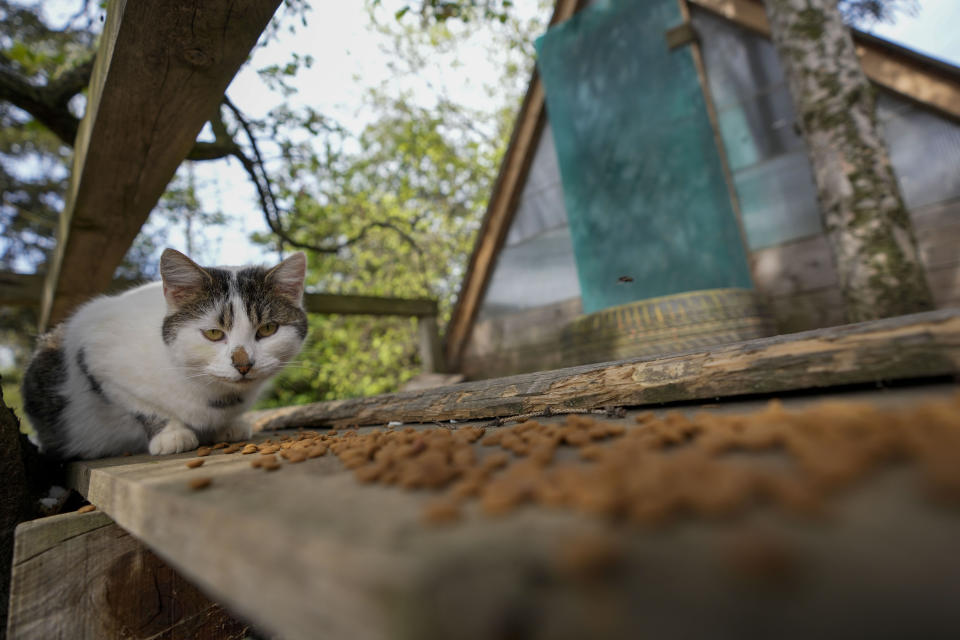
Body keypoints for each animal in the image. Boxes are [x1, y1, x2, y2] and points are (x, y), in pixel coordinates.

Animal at [21, 246, 308, 460]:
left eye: (268, 329)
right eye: (213, 333)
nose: (244, 364)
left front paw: (227, 427)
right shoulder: (96, 357)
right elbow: (143, 406)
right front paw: (171, 434)